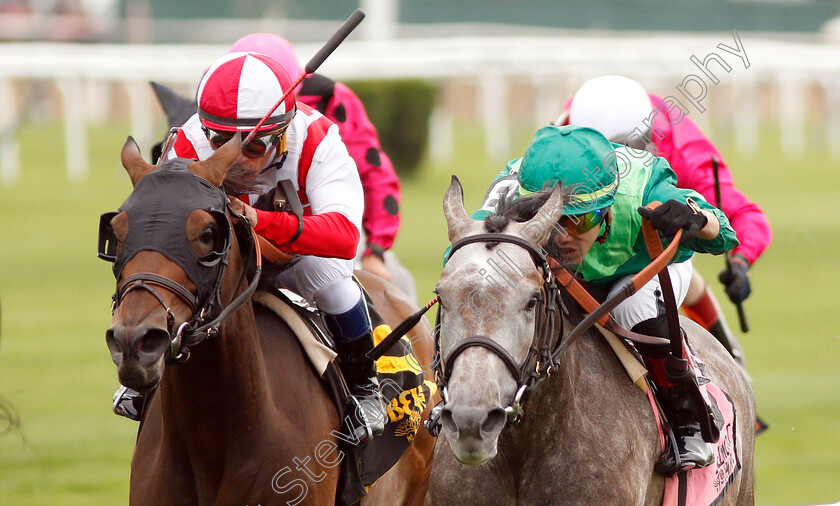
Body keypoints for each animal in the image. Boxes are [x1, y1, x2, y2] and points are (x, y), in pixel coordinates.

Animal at [101, 136, 436, 504]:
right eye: (117, 232)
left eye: (207, 233)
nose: (135, 342)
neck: (210, 441)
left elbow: (342, 231)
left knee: (332, 285)